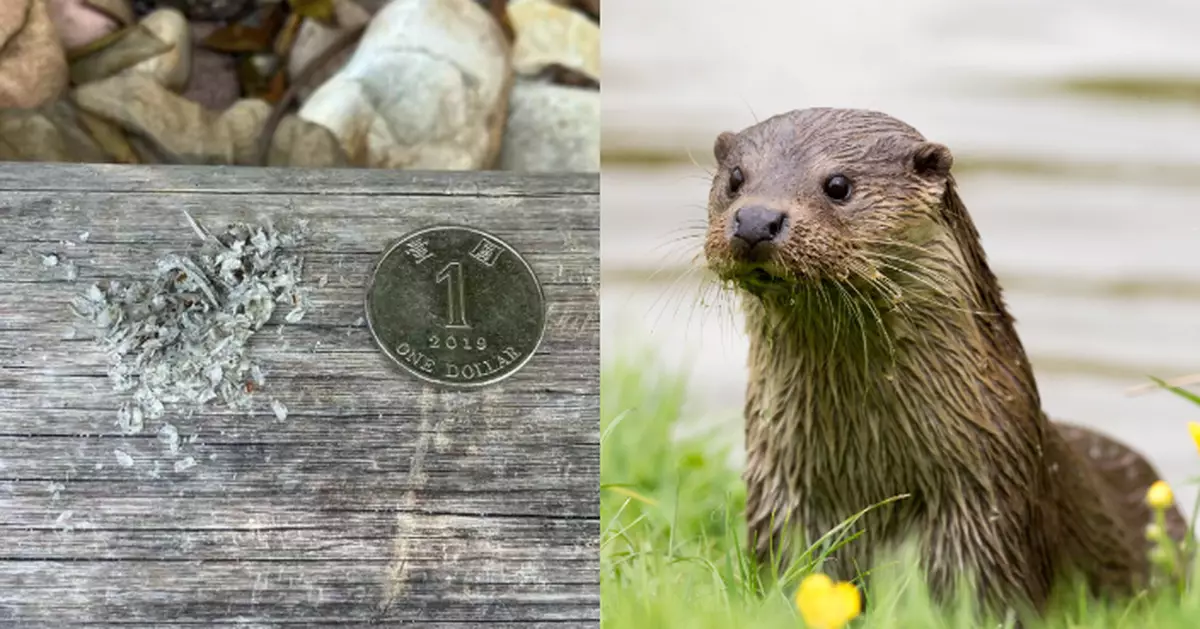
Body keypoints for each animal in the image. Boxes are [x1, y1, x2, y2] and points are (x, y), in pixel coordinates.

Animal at [700, 108, 1190, 614]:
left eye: (838, 184)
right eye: (736, 178)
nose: (756, 219)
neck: (872, 476)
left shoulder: (985, 510)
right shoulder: (781, 496)